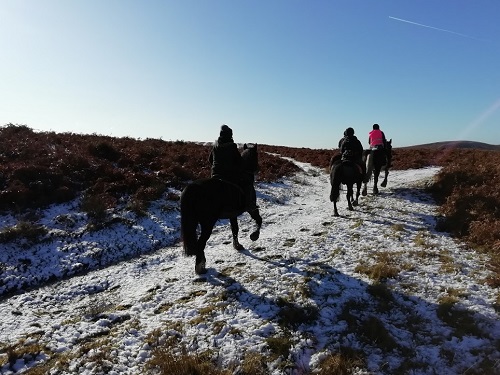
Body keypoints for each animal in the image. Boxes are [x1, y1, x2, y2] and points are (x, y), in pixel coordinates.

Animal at [181, 142, 262, 274]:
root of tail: (192, 188)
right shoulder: (251, 209)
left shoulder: (233, 215)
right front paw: (254, 236)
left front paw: (237, 246)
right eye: (257, 156)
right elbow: (259, 220)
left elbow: (235, 229)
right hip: (208, 223)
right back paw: (200, 267)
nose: (258, 168)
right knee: (201, 243)